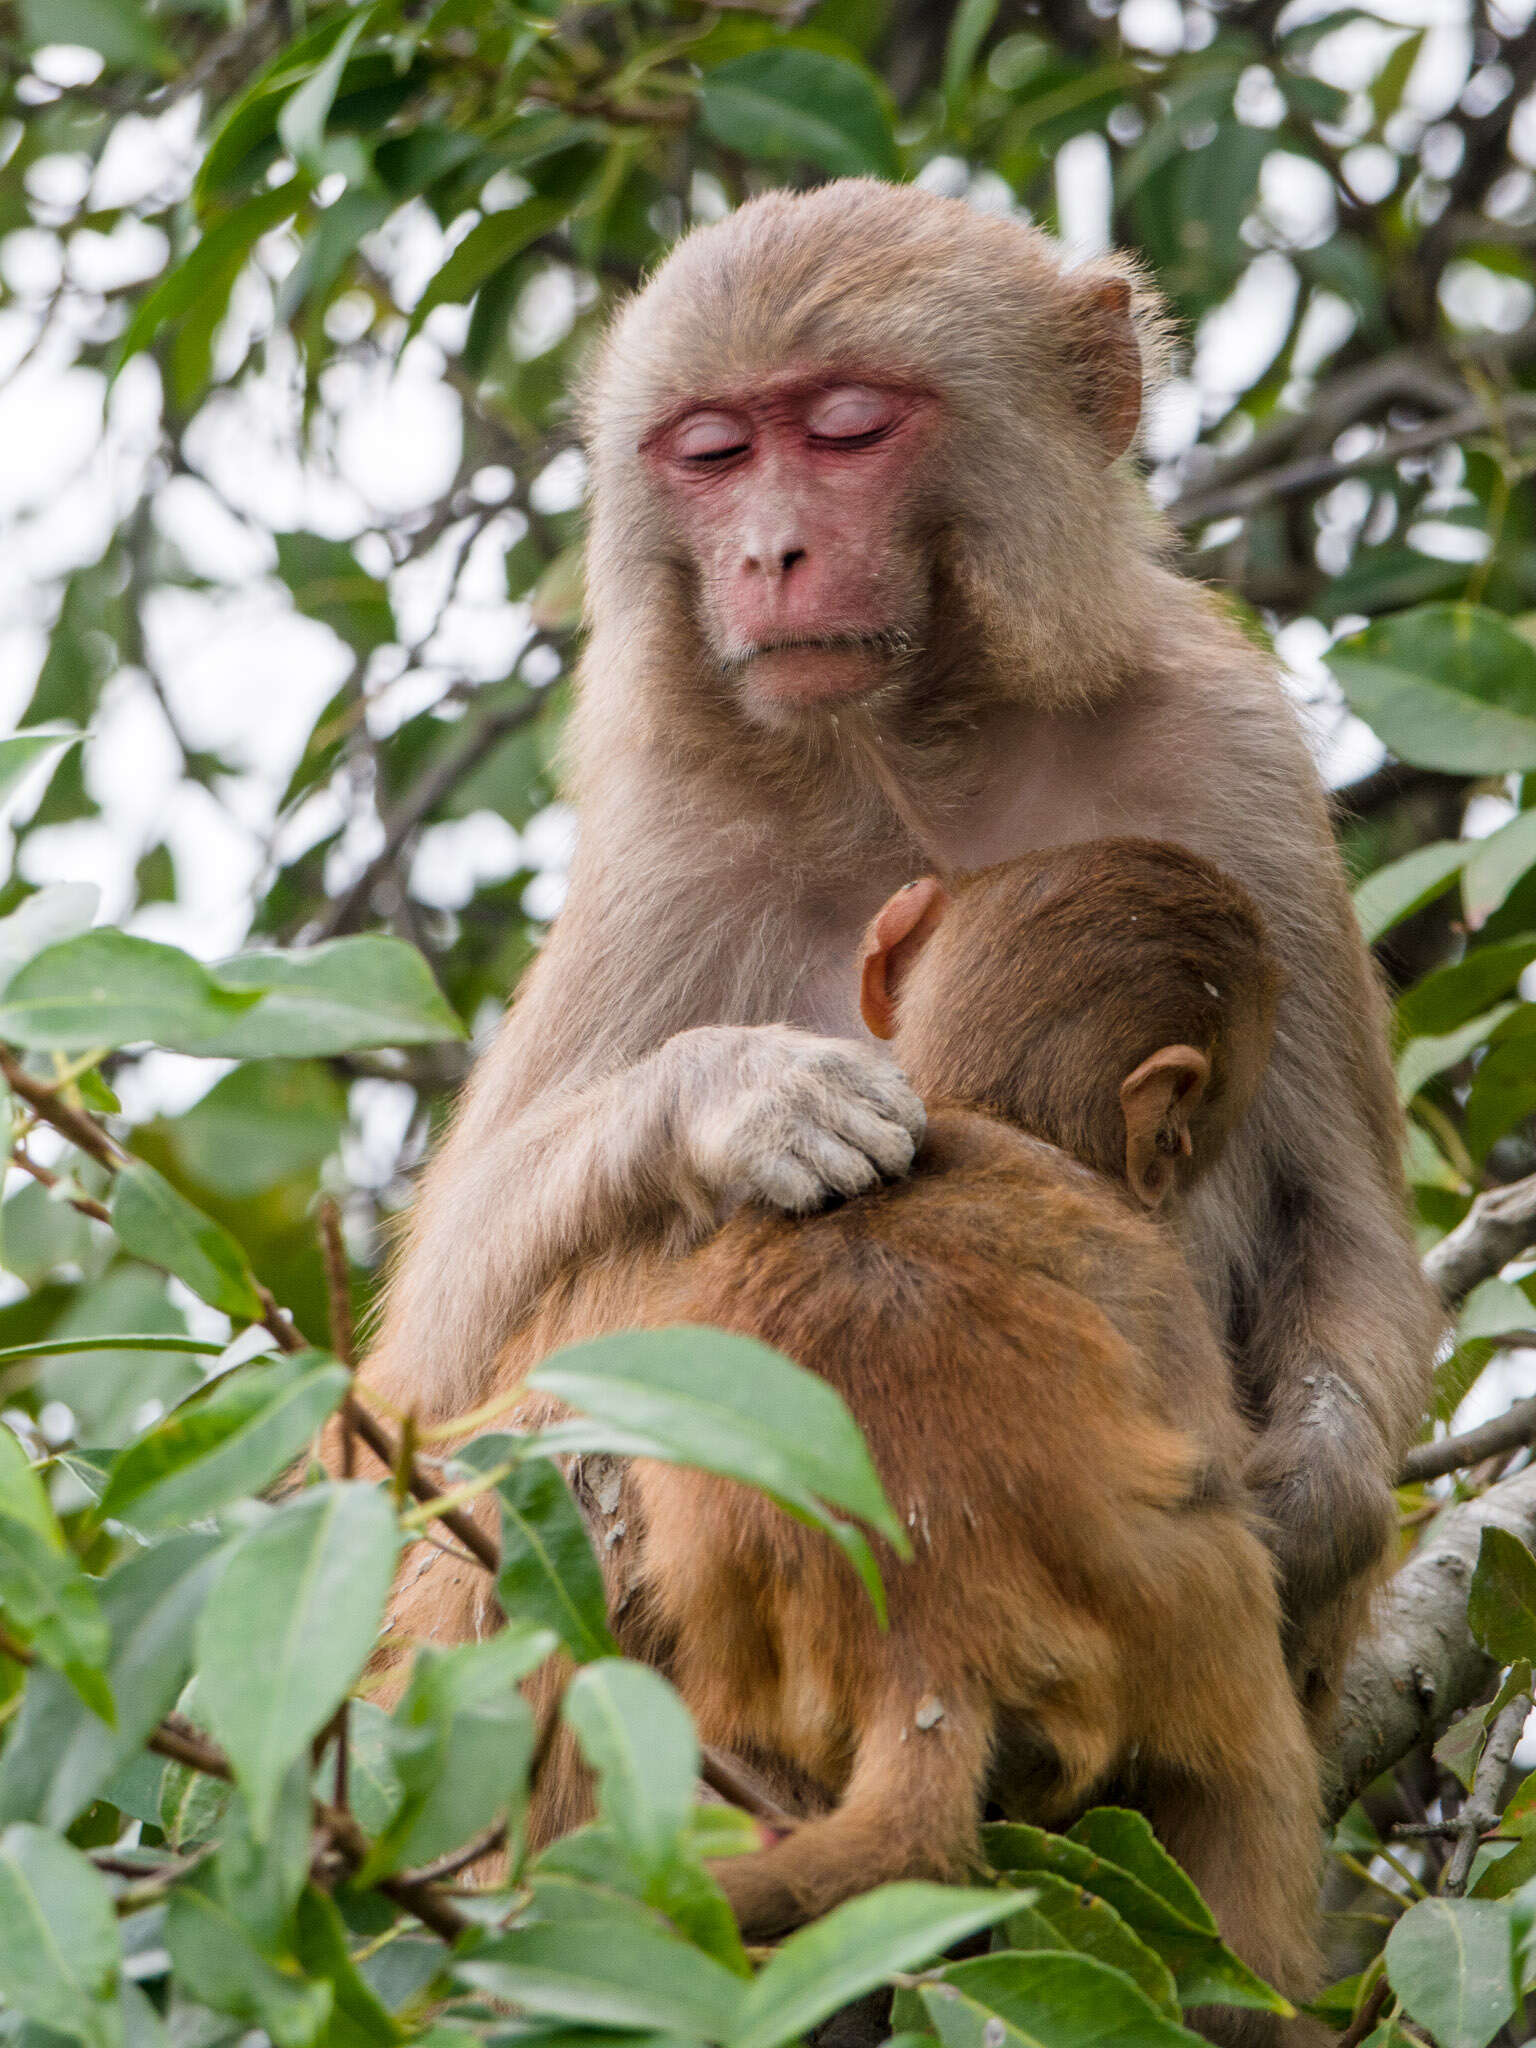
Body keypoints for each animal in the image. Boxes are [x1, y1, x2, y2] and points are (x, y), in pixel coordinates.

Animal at [364, 176, 1441, 1712]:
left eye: (848, 429)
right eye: (711, 450)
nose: (768, 554)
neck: (916, 757)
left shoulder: (1233, 750)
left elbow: (1341, 1225)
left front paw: (1313, 1499)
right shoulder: (669, 845)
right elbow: (412, 1397)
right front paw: (744, 1098)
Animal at [493, 839, 1327, 2039]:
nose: (1174, 1167)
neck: (973, 1109)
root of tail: (926, 1641)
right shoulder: (1145, 1269)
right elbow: (1205, 1450)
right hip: (1172, 1614)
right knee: (1245, 1708)